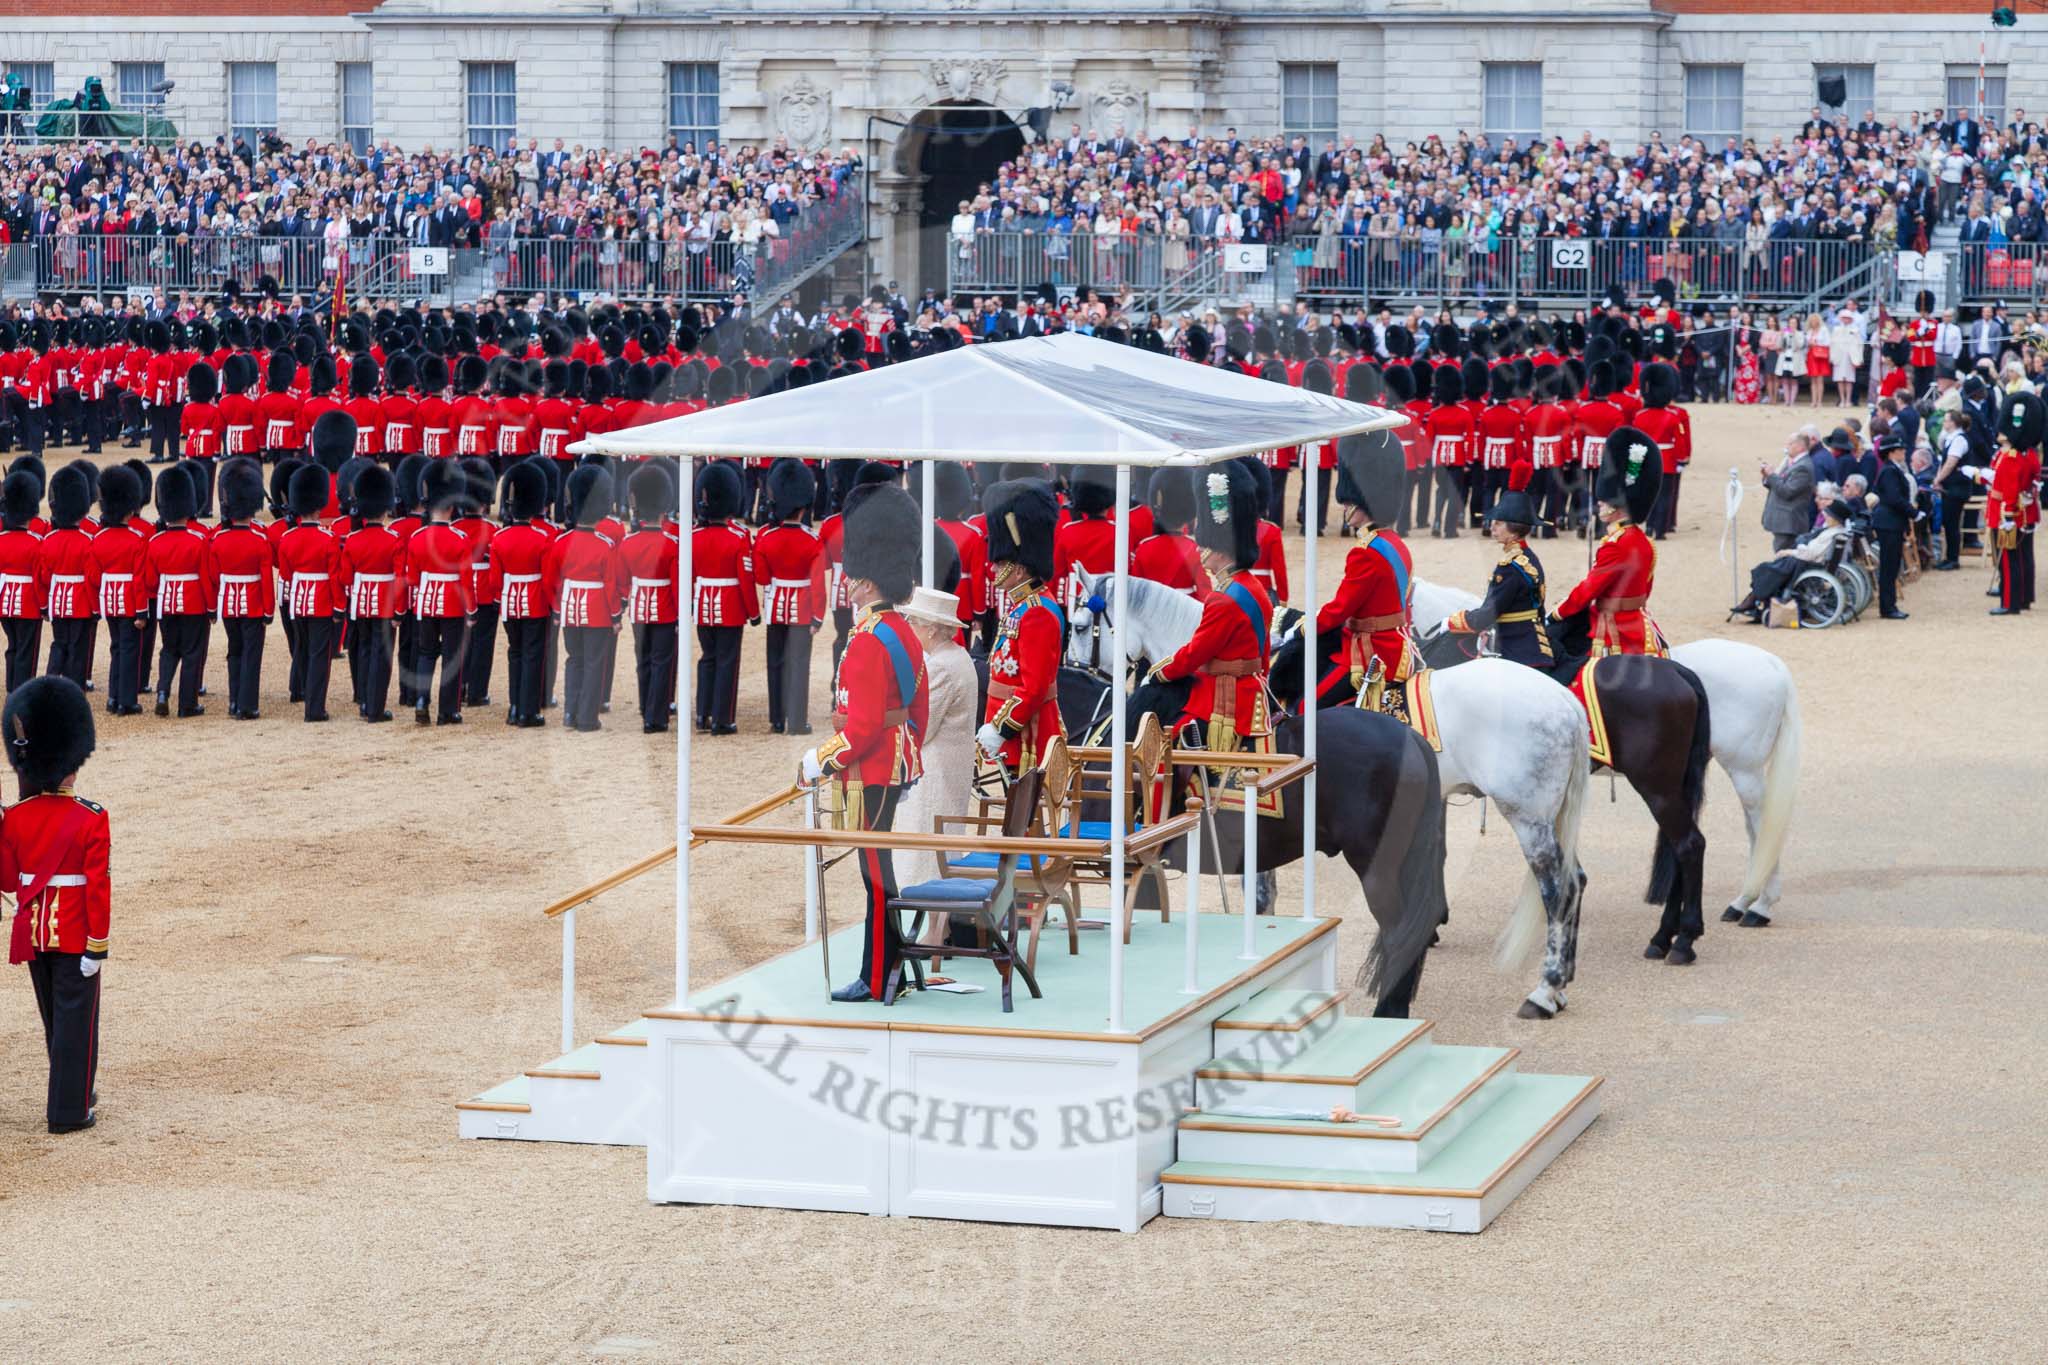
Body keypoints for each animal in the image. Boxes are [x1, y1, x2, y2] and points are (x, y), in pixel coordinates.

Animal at [1073, 564, 1597, 1015]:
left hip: (1525, 815)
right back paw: (1560, 978)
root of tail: (1563, 701)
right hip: (1545, 817)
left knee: (1556, 889)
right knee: (1575, 880)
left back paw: (1544, 989)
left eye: (1079, 624)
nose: (1079, 674)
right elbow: (1261, 892)